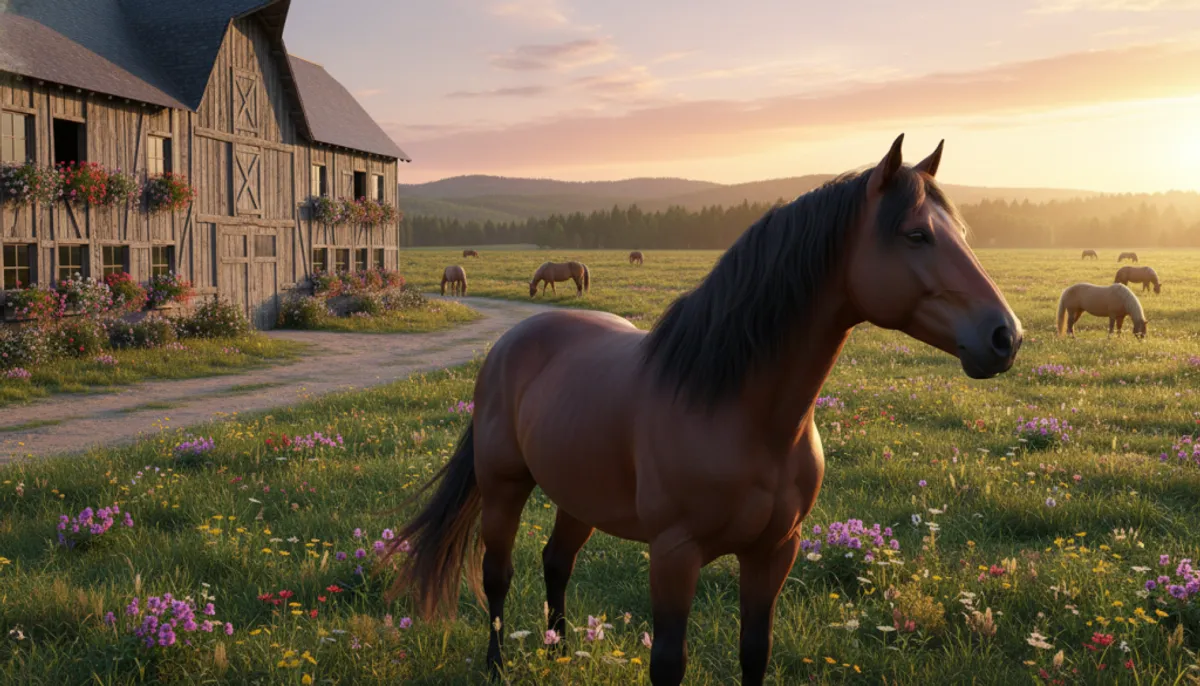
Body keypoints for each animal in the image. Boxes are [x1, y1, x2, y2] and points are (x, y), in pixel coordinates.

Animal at [380, 135, 1022, 686]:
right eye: (915, 235)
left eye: (963, 231)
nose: (1005, 337)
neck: (743, 414)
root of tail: (510, 343)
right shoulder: (673, 555)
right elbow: (668, 663)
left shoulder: (774, 552)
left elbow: (755, 653)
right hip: (504, 486)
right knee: (498, 575)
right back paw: (498, 665)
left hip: (577, 495)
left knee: (556, 563)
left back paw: (559, 651)